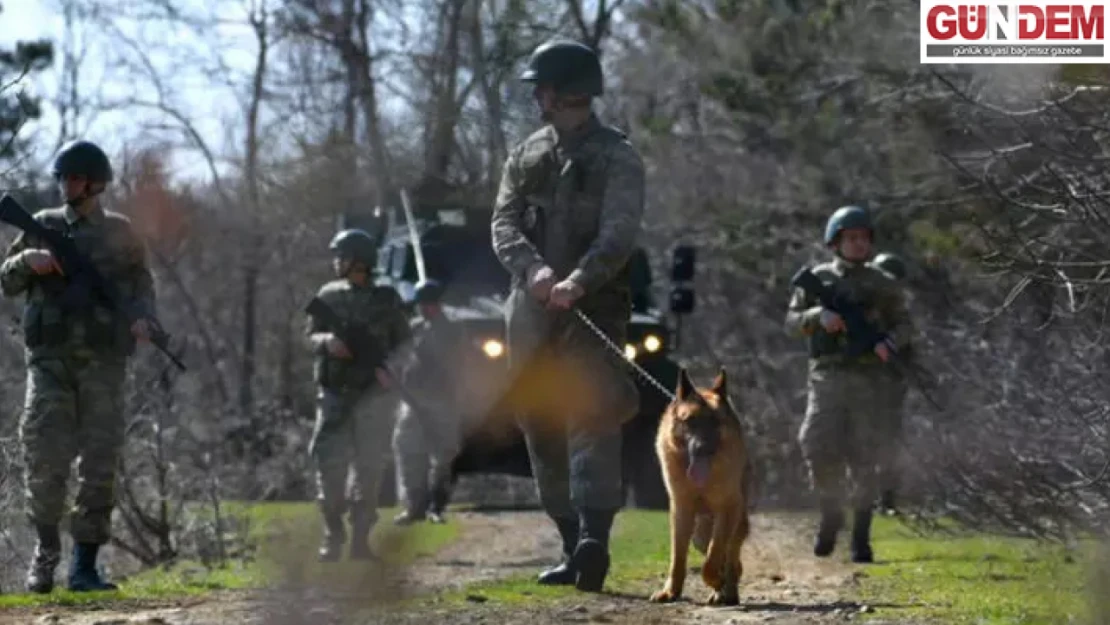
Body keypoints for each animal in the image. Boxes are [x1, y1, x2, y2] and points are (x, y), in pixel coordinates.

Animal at [648, 366, 750, 608]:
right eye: (690, 421)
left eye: (715, 422)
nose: (702, 448)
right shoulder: (681, 510)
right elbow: (677, 557)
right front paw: (671, 592)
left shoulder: (727, 509)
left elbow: (714, 557)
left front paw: (717, 581)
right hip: (700, 534)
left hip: (735, 521)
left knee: (731, 557)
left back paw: (727, 591)